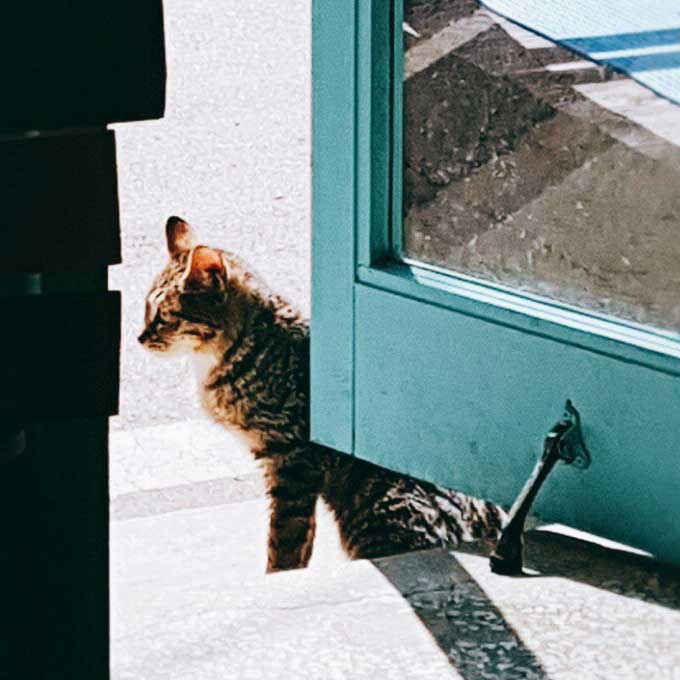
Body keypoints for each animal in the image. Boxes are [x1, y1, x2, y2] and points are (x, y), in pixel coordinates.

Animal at [138, 216, 504, 568]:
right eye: (145, 309)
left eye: (163, 317)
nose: (139, 338)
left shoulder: (293, 462)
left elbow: (285, 541)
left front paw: (279, 577)